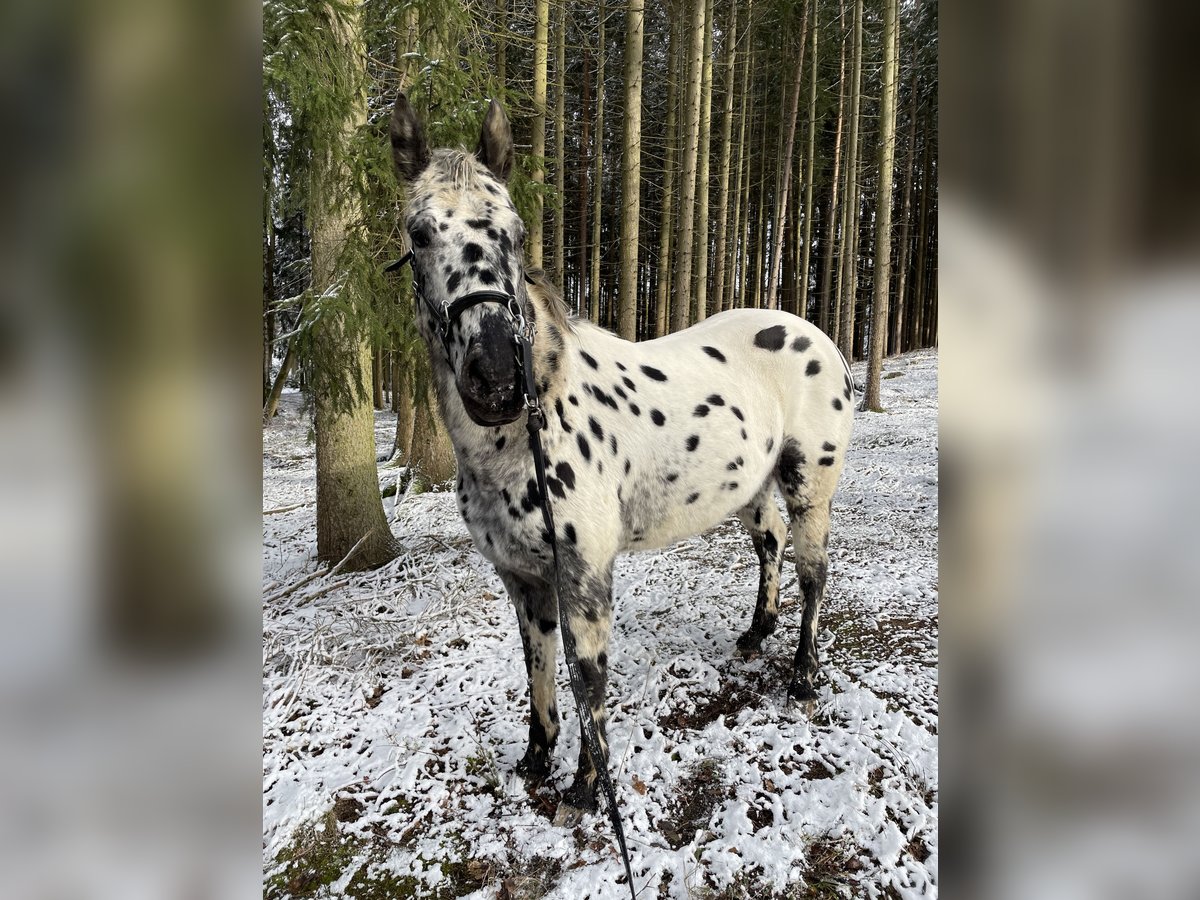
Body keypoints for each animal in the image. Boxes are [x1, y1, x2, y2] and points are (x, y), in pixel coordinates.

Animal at [391, 95, 854, 830]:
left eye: (514, 233)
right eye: (420, 233)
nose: (496, 380)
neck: (523, 435)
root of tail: (819, 337)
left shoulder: (584, 575)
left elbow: (588, 678)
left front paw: (584, 789)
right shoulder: (523, 579)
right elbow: (538, 667)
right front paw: (535, 761)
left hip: (810, 483)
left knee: (813, 571)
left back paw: (803, 676)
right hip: (749, 490)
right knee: (771, 545)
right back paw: (756, 634)